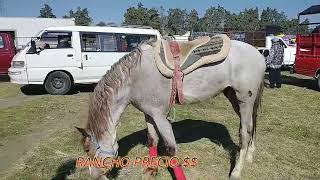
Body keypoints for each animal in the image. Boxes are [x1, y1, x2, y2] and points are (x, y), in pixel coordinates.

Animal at [77, 37, 264, 180]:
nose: (94, 176)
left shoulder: (161, 117)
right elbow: (152, 140)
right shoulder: (149, 114)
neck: (134, 77)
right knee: (252, 124)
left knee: (245, 132)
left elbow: (171, 149)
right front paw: (152, 169)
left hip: (245, 101)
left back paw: (236, 171)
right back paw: (250, 155)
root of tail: (259, 54)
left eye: (87, 149)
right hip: (234, 98)